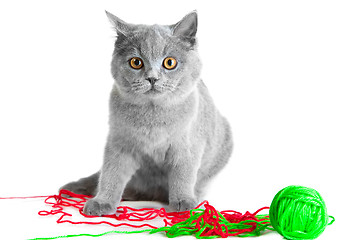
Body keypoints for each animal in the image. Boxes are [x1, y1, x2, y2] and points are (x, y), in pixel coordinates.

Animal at [61, 10, 233, 216]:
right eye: (136, 62)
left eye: (169, 62)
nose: (152, 78)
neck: (152, 115)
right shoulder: (119, 143)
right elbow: (111, 173)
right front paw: (103, 201)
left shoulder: (187, 145)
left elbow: (183, 174)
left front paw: (183, 202)